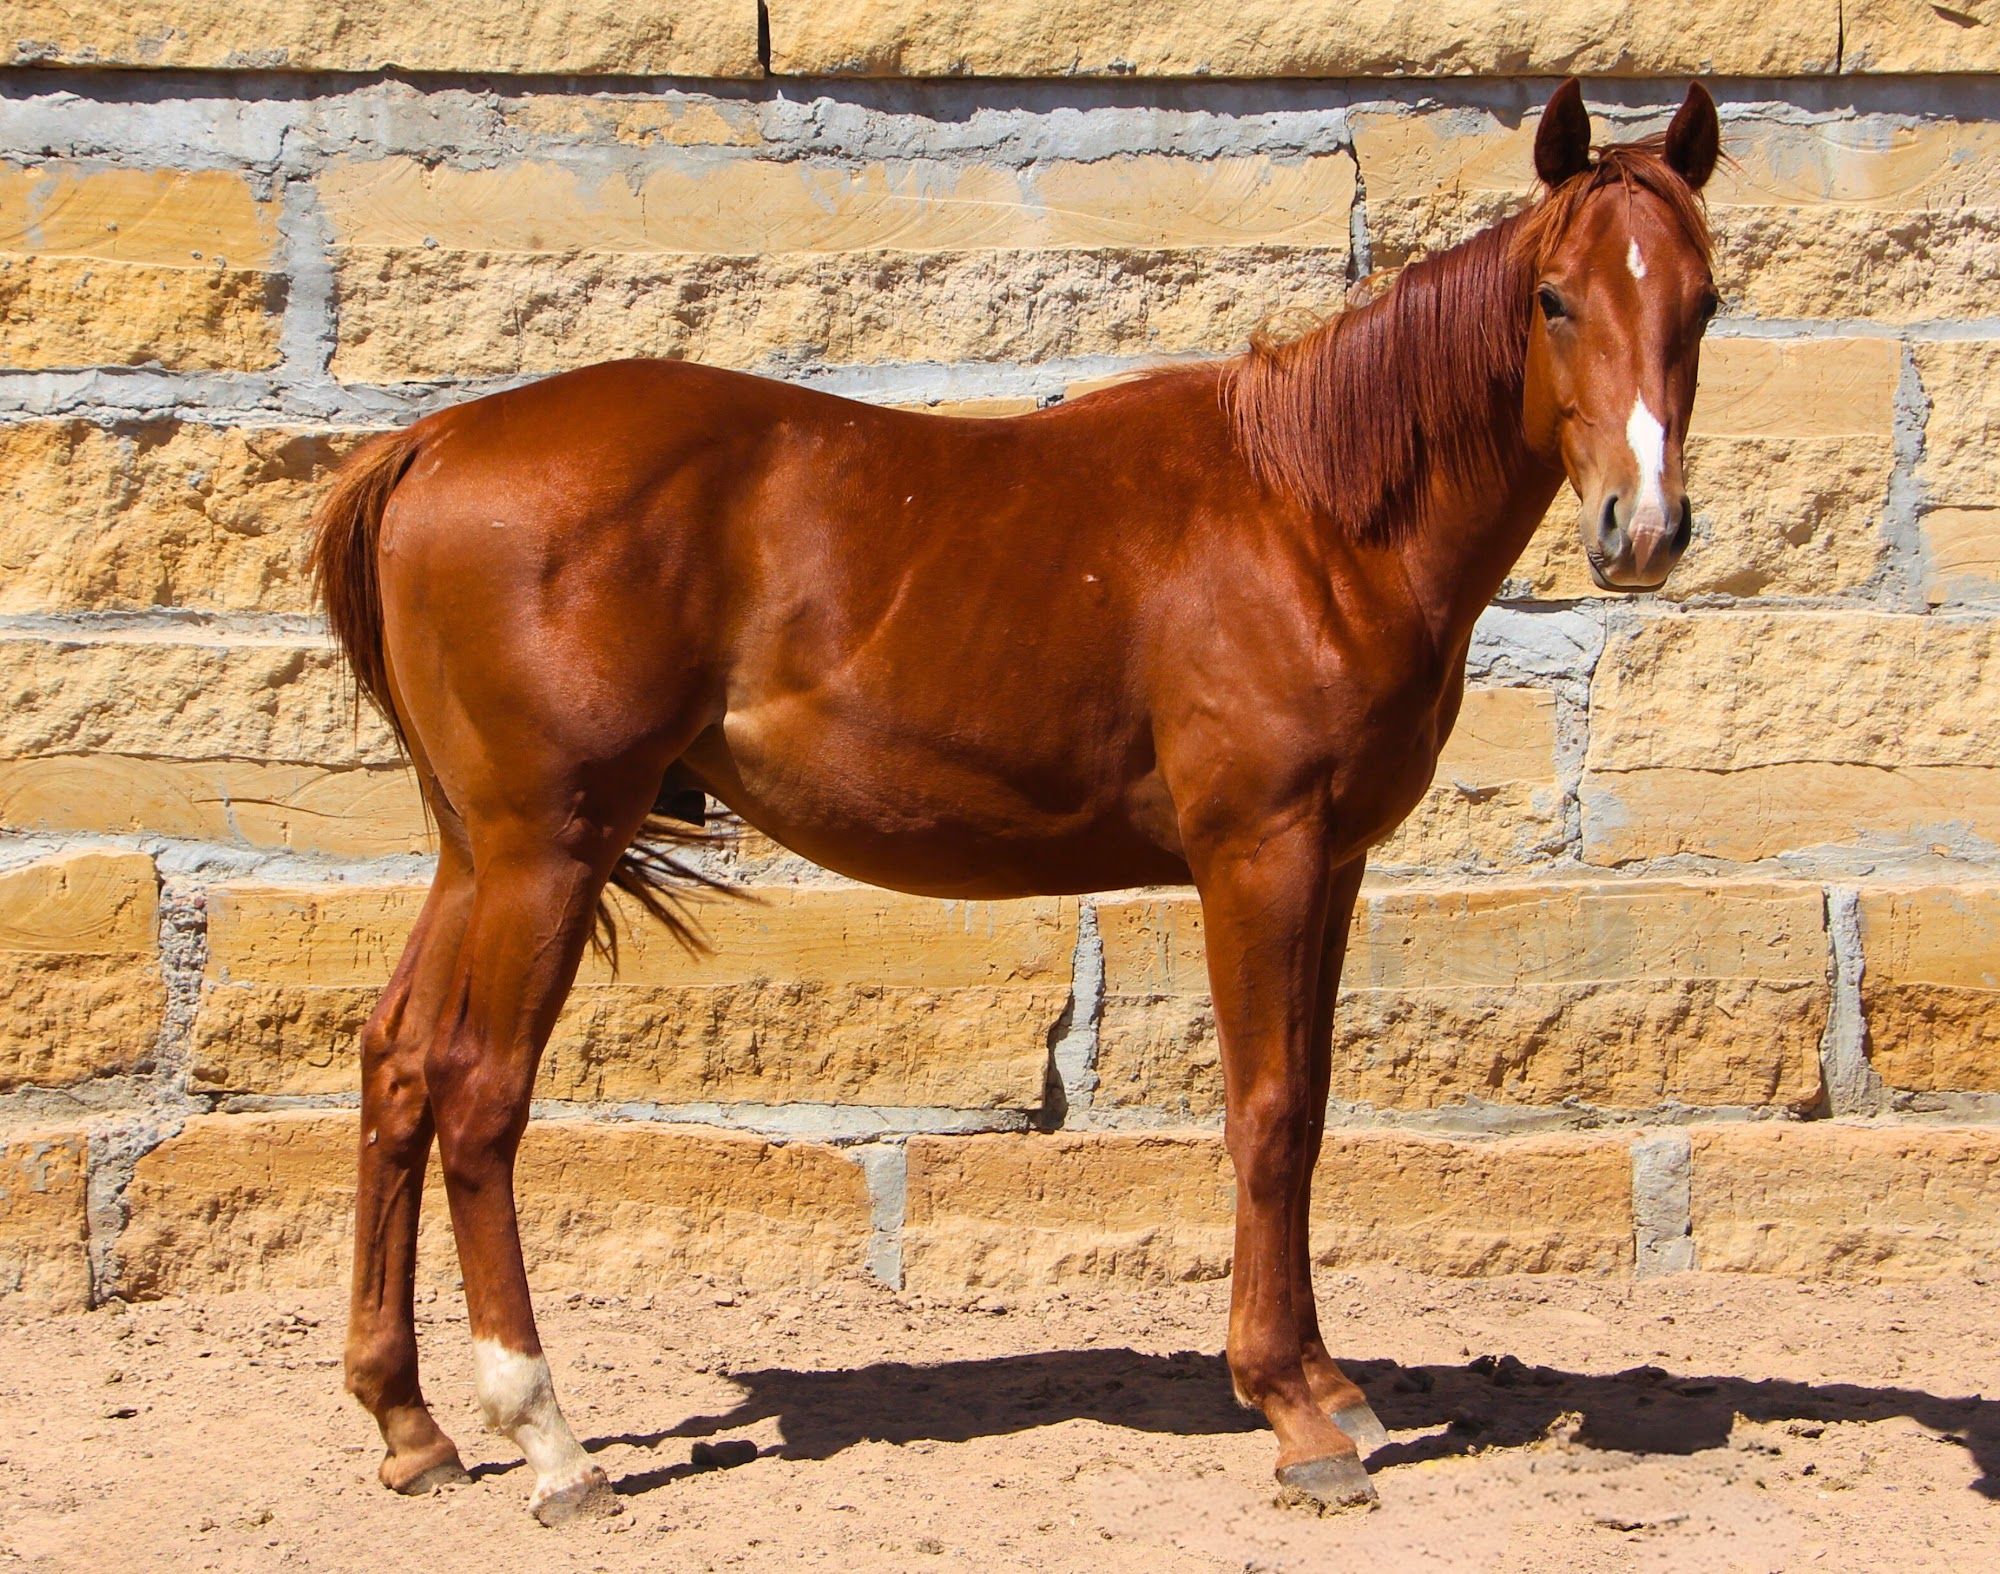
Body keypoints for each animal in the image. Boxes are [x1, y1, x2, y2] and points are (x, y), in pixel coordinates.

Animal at [316, 78, 1722, 1521]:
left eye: (1703, 301)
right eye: (1553, 297)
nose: (1643, 528)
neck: (1311, 516)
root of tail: (430, 443)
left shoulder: (1332, 863)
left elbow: (1314, 1100)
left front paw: (1333, 1383)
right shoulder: (1258, 852)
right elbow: (1267, 1111)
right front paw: (1291, 1410)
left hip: (476, 849)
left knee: (398, 1063)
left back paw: (410, 1422)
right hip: (551, 844)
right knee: (481, 1091)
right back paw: (548, 1439)